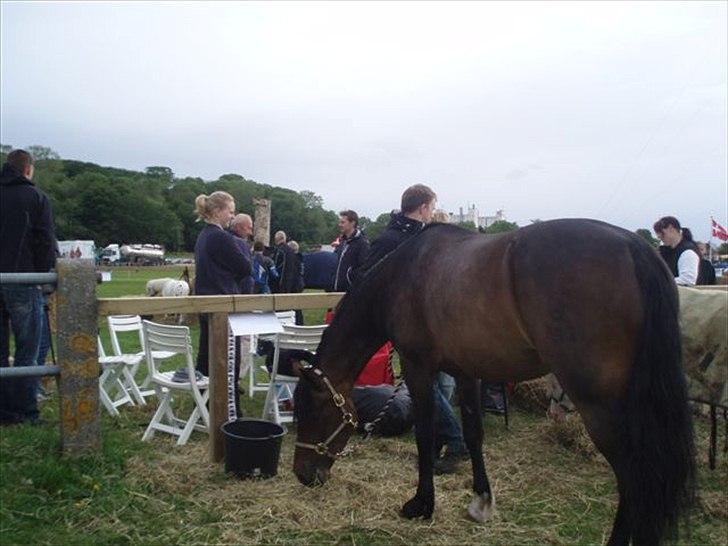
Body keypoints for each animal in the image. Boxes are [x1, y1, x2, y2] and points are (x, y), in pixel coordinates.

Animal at [292, 218, 692, 544]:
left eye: (311, 410)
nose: (303, 475)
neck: (403, 275)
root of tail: (635, 247)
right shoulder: (467, 372)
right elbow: (473, 433)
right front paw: (481, 500)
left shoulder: (419, 368)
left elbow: (425, 435)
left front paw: (421, 504)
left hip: (599, 405)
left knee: (633, 475)